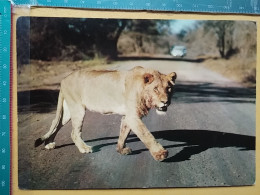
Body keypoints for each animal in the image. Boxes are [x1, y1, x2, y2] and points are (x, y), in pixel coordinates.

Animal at [35, 66, 177, 161]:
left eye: (169, 88)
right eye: (155, 89)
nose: (166, 102)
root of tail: (64, 79)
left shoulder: (128, 116)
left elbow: (123, 133)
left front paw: (121, 150)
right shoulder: (133, 116)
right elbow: (146, 135)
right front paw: (160, 154)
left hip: (68, 111)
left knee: (56, 123)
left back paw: (49, 143)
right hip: (78, 109)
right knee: (74, 133)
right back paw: (84, 148)